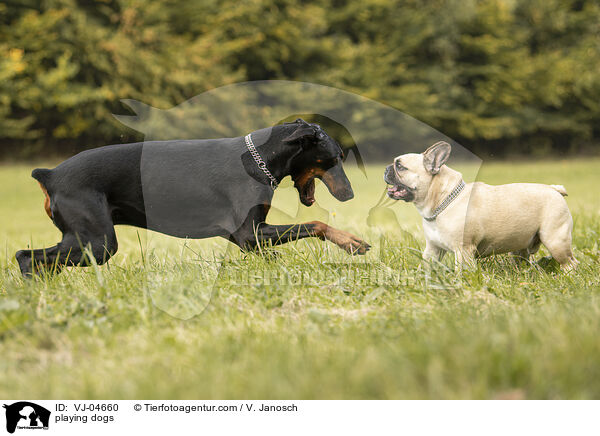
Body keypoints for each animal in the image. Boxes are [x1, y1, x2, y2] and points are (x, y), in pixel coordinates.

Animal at [16, 119, 368, 276]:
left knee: (39, 260)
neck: (259, 159)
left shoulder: (249, 236)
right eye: (334, 158)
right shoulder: (249, 233)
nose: (351, 194)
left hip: (84, 241)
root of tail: (50, 175)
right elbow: (316, 224)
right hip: (98, 242)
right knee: (26, 256)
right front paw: (352, 241)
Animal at [384, 141, 576, 270]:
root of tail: (553, 189)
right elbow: (426, 266)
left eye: (400, 166)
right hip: (520, 246)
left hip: (555, 241)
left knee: (570, 262)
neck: (442, 202)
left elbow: (461, 272)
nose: (386, 169)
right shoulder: (432, 249)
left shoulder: (463, 251)